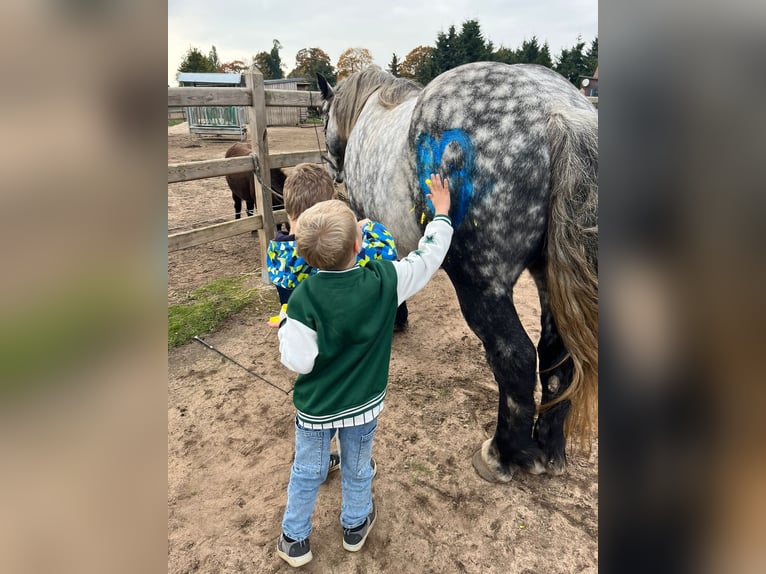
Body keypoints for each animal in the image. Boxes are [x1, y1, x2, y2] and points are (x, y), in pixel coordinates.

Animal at [317, 62, 598, 482]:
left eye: (321, 115)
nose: (331, 168)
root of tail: (557, 110)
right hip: (549, 281)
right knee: (557, 360)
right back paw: (550, 449)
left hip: (482, 283)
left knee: (515, 357)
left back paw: (503, 454)